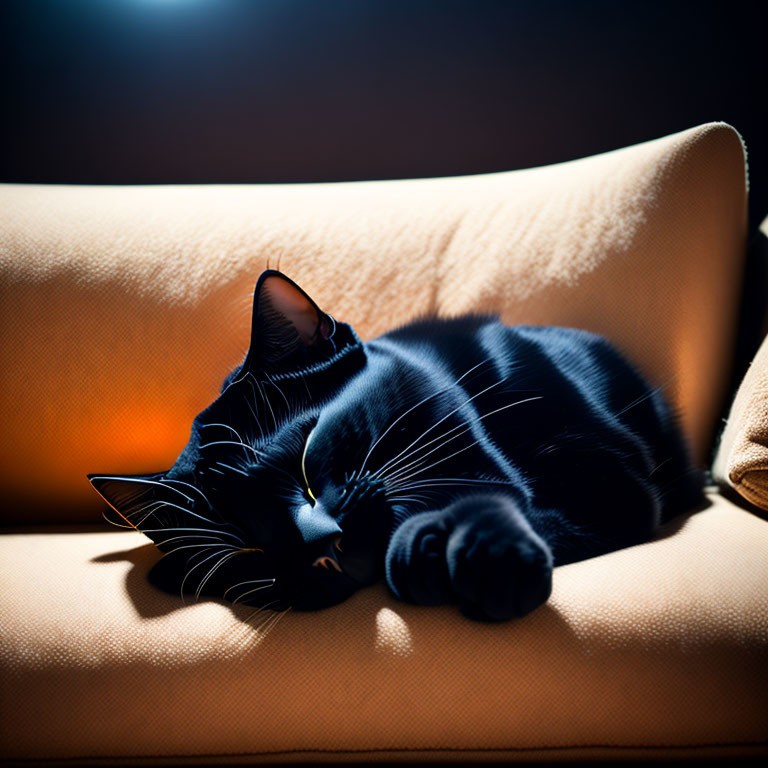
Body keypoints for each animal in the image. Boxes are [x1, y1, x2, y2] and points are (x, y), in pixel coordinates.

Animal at [87, 268, 704, 616]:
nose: (320, 545)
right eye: (245, 549)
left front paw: (472, 554)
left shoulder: (614, 487)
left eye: (306, 453)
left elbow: (517, 507)